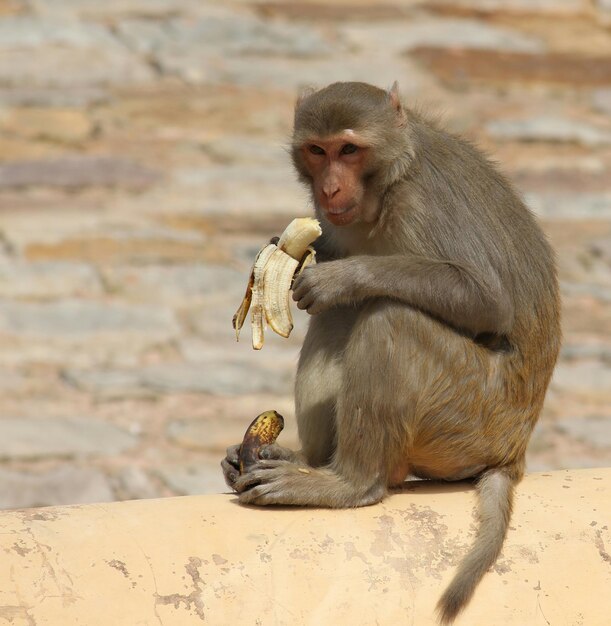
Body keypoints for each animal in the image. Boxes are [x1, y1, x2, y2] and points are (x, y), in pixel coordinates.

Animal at [222, 81, 560, 620]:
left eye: (348, 150)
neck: (388, 182)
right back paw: (301, 459)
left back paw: (347, 484)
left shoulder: (421, 203)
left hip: (473, 417)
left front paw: (341, 277)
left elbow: (486, 299)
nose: (329, 189)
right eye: (317, 151)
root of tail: (514, 452)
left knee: (390, 318)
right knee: (340, 319)